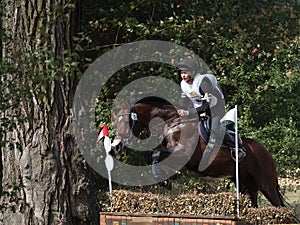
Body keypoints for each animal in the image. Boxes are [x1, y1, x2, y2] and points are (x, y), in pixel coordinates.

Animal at [111, 96, 284, 207]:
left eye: (127, 121)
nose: (116, 146)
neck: (172, 123)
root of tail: (266, 152)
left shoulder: (185, 153)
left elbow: (155, 154)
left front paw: (165, 180)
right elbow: (151, 156)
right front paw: (167, 178)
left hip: (265, 183)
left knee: (279, 206)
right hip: (245, 184)